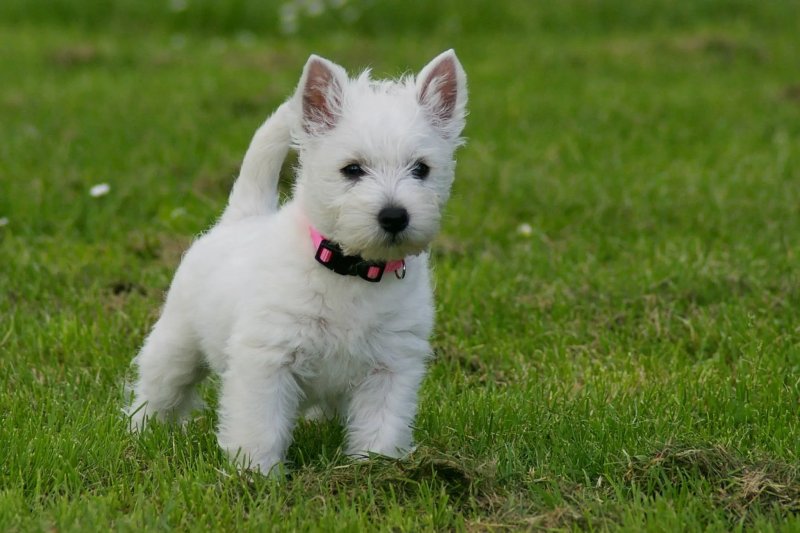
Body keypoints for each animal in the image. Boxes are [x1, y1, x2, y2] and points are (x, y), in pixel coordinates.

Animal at [126, 51, 468, 474]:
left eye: (421, 168)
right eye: (352, 169)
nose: (394, 216)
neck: (352, 270)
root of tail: (242, 215)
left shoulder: (391, 366)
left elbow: (381, 426)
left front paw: (376, 470)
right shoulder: (267, 360)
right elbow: (260, 426)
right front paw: (254, 475)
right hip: (177, 345)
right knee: (158, 390)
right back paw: (141, 432)